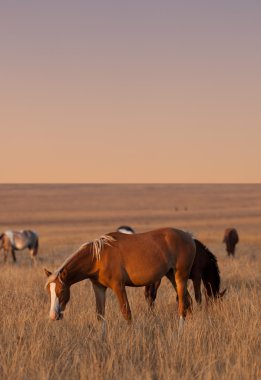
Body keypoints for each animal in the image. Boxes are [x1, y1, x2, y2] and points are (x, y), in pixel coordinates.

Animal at [44, 227, 195, 332]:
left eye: (61, 291)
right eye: (49, 293)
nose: (52, 316)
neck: (98, 258)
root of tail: (188, 236)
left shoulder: (118, 286)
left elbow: (126, 312)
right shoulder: (99, 288)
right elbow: (100, 315)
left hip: (180, 277)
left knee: (182, 306)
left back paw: (179, 333)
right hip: (172, 276)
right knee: (188, 301)